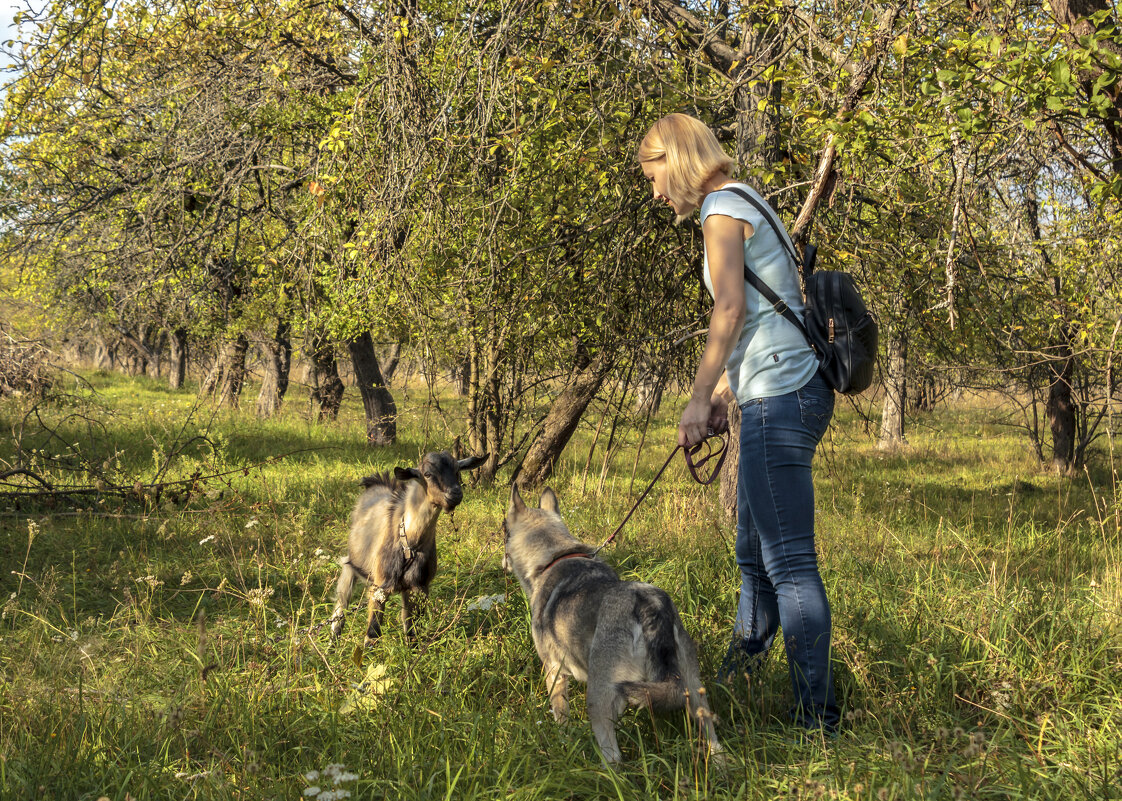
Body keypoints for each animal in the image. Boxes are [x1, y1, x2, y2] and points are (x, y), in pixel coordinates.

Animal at [327, 448, 486, 641]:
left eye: (457, 471)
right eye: (427, 474)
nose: (455, 494)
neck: (410, 544)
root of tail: (374, 482)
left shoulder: (419, 586)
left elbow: (411, 631)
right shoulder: (380, 586)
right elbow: (372, 633)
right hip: (350, 565)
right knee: (340, 606)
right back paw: (333, 641)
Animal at [504, 484, 722, 762]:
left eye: (504, 531)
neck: (555, 556)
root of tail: (649, 603)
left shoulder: (554, 672)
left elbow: (561, 721)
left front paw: (563, 744)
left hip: (599, 700)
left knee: (613, 760)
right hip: (694, 692)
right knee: (714, 741)